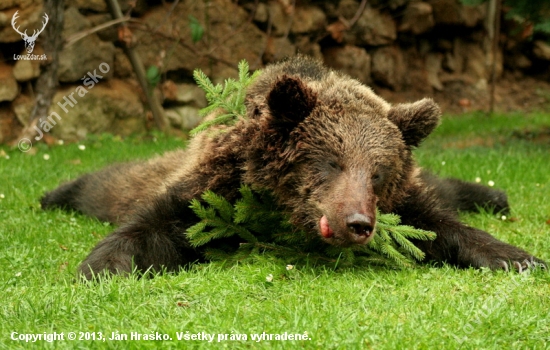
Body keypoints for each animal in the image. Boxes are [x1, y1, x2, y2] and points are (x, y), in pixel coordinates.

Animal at [42, 55, 548, 278]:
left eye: (378, 172)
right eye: (330, 162)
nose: (358, 222)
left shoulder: (404, 204)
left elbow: (439, 227)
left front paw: (520, 257)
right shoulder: (211, 191)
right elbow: (155, 227)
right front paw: (102, 265)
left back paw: (494, 195)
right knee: (105, 185)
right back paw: (54, 193)